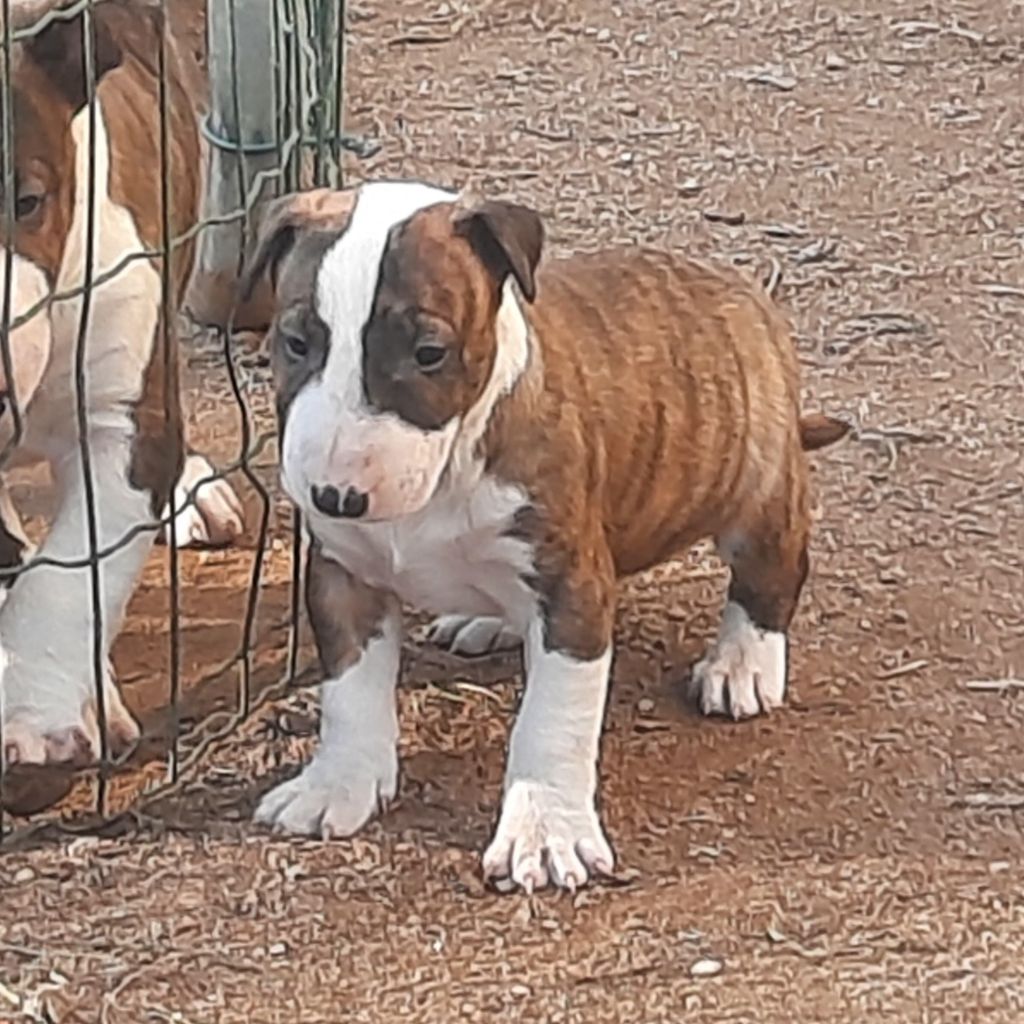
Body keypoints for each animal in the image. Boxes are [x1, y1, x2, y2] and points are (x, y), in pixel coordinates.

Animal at [241, 180, 847, 892]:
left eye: (428, 353)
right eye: (294, 342)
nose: (337, 495)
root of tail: (737, 286)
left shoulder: (570, 589)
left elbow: (552, 718)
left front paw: (545, 831)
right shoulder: (343, 576)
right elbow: (349, 692)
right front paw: (337, 785)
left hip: (758, 484)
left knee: (771, 571)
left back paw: (743, 662)